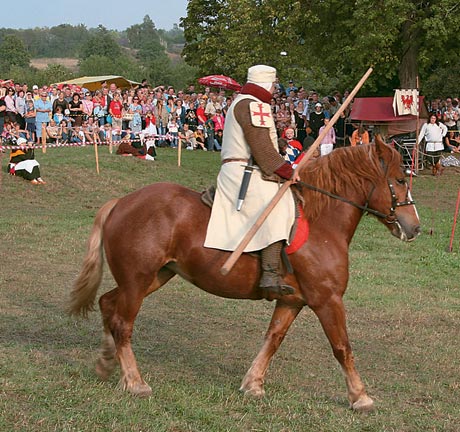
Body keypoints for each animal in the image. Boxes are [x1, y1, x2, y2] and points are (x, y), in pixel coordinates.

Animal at [69, 137, 420, 410]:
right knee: (122, 323)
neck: (321, 221)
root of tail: (120, 203)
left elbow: (273, 339)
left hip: (152, 277)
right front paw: (360, 397)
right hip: (138, 280)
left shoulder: (292, 302)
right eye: (401, 180)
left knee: (107, 304)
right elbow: (342, 347)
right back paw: (135, 381)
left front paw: (253, 383)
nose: (414, 227)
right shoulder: (327, 300)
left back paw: (106, 362)